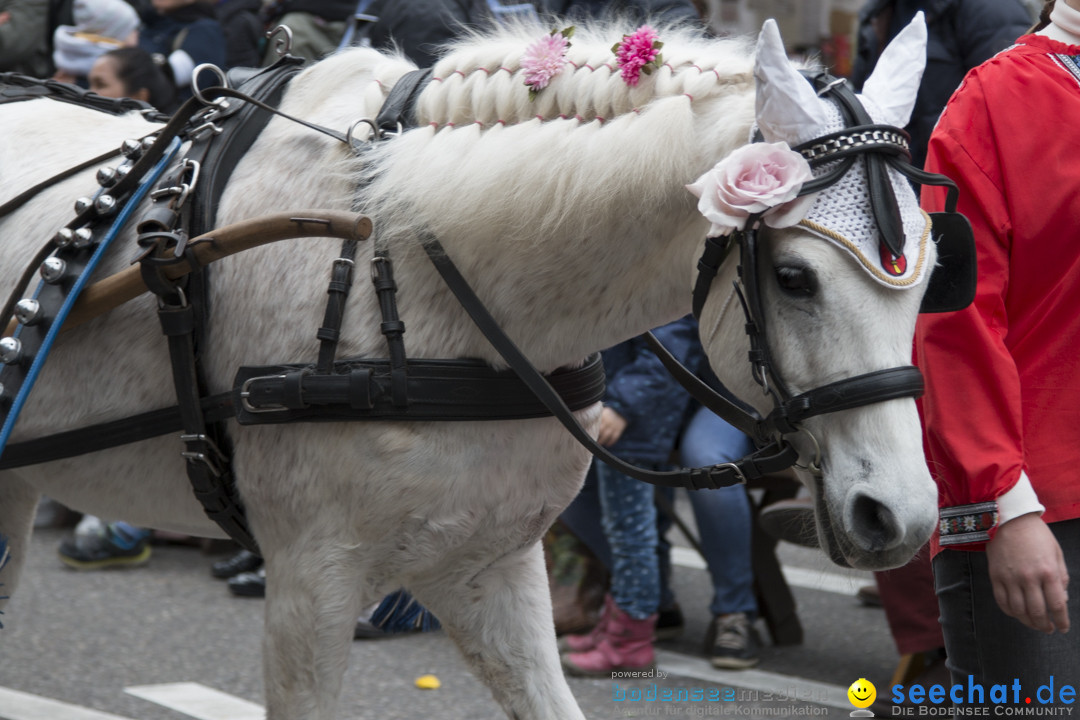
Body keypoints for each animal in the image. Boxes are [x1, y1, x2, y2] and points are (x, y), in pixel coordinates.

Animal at [0, 12, 941, 720]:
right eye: (795, 278)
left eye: (934, 272)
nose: (900, 516)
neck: (399, 259)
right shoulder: (311, 579)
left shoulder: (488, 565)